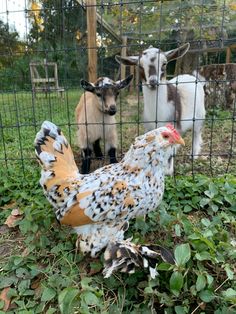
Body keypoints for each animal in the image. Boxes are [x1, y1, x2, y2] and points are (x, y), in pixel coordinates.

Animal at [115, 42, 205, 173]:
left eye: (164, 63)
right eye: (140, 66)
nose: (153, 82)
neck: (157, 114)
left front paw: (168, 171)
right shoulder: (149, 128)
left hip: (199, 117)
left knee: (197, 134)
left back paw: (193, 155)